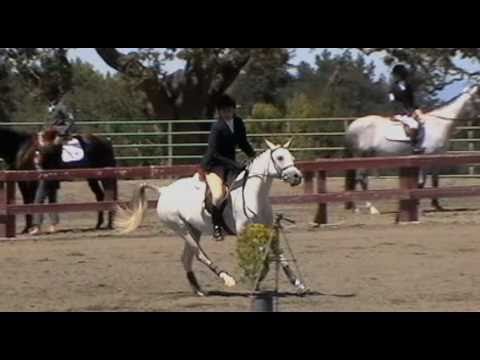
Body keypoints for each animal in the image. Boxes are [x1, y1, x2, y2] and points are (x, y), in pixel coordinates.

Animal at [116, 139, 304, 296]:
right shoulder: (244, 231)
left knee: (186, 258)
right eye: (280, 157)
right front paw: (256, 282)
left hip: (193, 229)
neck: (255, 194)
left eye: (292, 157)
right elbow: (264, 256)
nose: (297, 177)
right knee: (199, 254)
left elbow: (279, 254)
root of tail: (164, 191)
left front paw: (297, 283)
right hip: (181, 228)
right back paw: (227, 279)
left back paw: (199, 290)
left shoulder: (267, 228)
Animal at [344, 85, 478, 214]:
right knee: (361, 179)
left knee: (358, 180)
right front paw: (418, 205)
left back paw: (356, 208)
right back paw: (371, 208)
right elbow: (421, 182)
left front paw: (437, 205)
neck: (439, 124)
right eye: (479, 98)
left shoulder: (435, 159)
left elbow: (435, 182)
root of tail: (352, 126)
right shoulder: (425, 158)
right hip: (362, 156)